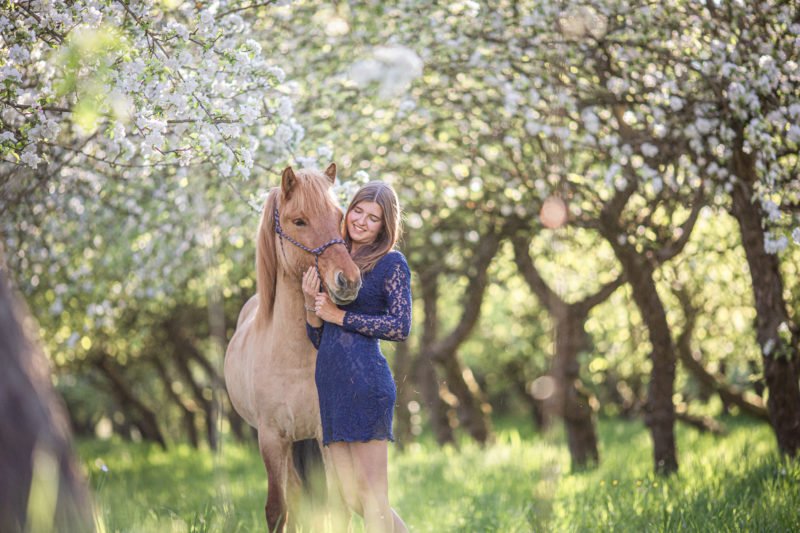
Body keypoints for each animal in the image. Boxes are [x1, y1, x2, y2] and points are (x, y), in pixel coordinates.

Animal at [225, 164, 362, 528]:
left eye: (339, 216)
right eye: (299, 221)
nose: (349, 280)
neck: (292, 358)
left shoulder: (325, 435)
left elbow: (337, 509)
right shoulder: (271, 438)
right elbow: (277, 509)